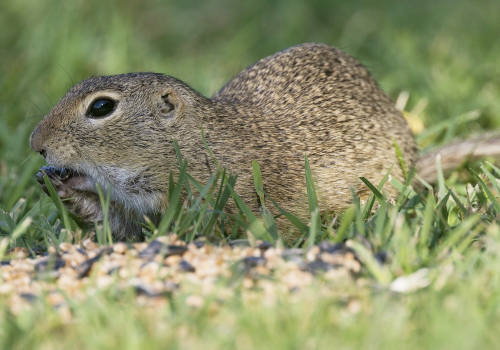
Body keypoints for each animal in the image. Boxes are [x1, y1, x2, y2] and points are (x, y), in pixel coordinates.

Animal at [29, 43, 498, 241]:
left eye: (101, 107)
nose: (36, 143)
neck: (195, 141)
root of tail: (415, 165)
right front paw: (62, 186)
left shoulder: (202, 192)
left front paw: (73, 181)